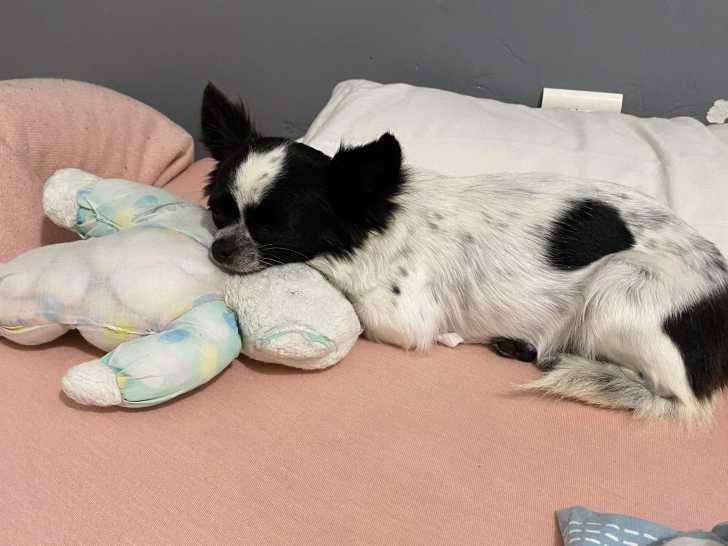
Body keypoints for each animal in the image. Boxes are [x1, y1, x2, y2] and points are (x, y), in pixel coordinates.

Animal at [200, 82, 728, 419]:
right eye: (219, 211)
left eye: (274, 229)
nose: (219, 250)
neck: (376, 221)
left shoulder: (398, 318)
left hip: (616, 291)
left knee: (667, 396)